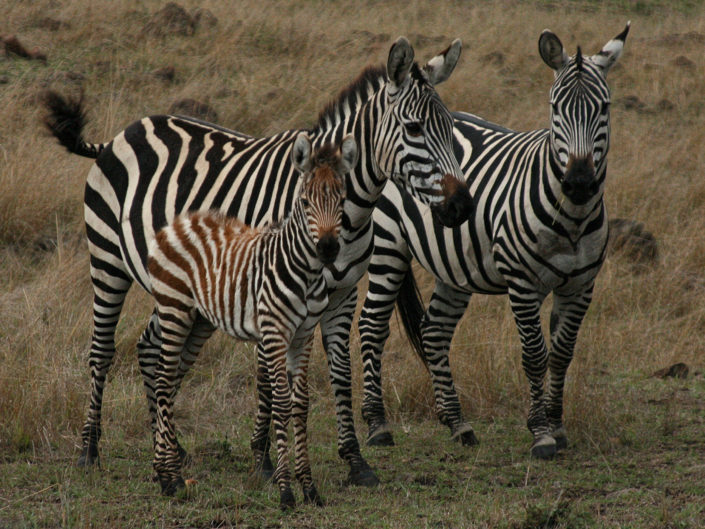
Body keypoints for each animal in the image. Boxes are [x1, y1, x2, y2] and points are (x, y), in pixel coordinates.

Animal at [148, 133, 352, 508]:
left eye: (342, 200)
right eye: (305, 202)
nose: (329, 249)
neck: (306, 272)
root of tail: (180, 221)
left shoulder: (304, 334)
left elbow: (301, 405)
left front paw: (309, 487)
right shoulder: (274, 332)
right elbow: (282, 403)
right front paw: (286, 490)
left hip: (198, 320)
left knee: (169, 381)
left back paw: (167, 475)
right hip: (174, 309)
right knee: (162, 380)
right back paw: (169, 478)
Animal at [358, 23, 630, 459]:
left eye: (604, 108)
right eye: (555, 108)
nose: (579, 182)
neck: (572, 218)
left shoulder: (582, 285)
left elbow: (562, 354)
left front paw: (557, 425)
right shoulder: (522, 283)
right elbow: (535, 355)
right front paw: (541, 433)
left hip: (454, 264)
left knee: (434, 331)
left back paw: (458, 423)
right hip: (387, 244)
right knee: (372, 325)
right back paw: (377, 424)